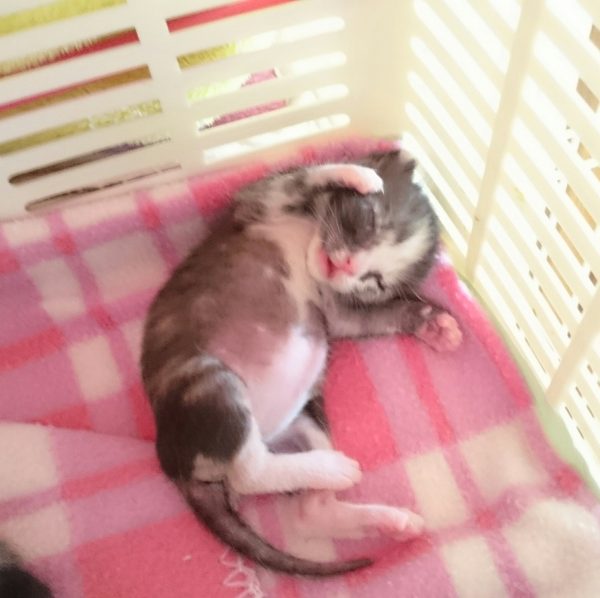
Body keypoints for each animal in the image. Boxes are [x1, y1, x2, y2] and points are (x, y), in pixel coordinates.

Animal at [140, 149, 462, 577]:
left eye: (375, 280)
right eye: (367, 223)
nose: (348, 266)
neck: (309, 235)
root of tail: (174, 463)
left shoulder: (338, 310)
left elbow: (374, 317)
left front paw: (437, 326)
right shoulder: (255, 200)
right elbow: (299, 178)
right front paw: (360, 175)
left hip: (302, 417)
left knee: (297, 503)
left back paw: (380, 511)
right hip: (209, 380)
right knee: (248, 474)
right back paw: (340, 475)